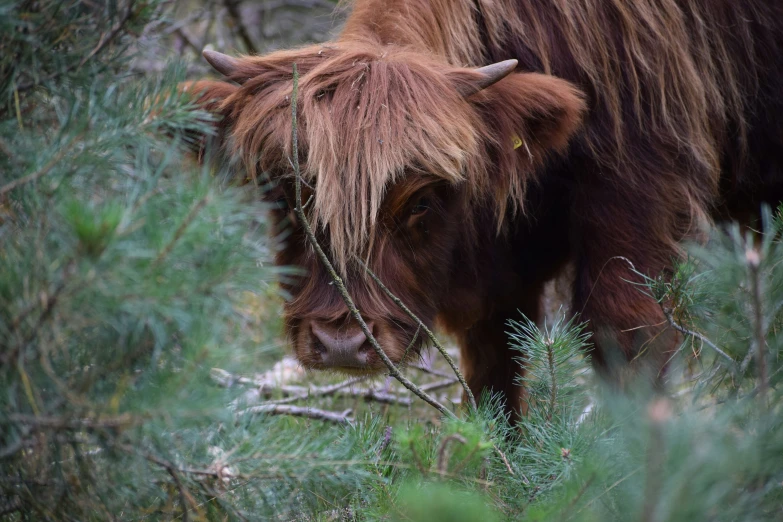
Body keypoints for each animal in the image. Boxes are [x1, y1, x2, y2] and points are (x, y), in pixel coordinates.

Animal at [188, 0, 783, 414]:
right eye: (284, 191)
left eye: (421, 201)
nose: (341, 343)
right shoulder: (497, 282)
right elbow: (495, 386)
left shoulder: (642, 203)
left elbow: (629, 341)